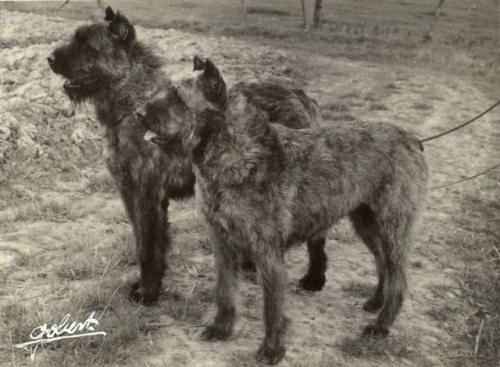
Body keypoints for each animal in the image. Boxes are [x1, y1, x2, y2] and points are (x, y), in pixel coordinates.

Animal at [138, 57, 430, 366]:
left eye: (178, 97)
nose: (138, 113)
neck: (237, 155)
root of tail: (412, 139)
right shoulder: (223, 243)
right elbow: (225, 291)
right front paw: (222, 328)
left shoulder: (268, 251)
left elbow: (272, 308)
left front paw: (272, 349)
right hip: (367, 223)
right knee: (382, 262)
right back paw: (376, 302)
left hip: (393, 228)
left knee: (399, 279)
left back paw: (382, 324)